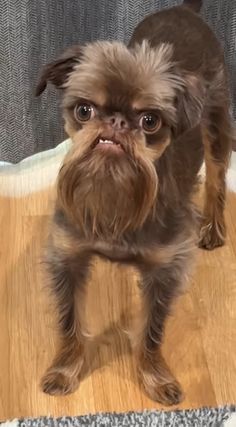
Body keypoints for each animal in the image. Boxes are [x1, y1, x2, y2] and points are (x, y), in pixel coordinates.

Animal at [36, 0, 232, 404]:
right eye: (84, 111)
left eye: (150, 120)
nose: (116, 123)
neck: (114, 192)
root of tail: (186, 9)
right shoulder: (67, 256)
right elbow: (70, 322)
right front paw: (65, 370)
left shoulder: (165, 270)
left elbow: (151, 331)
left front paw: (156, 377)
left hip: (218, 117)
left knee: (217, 174)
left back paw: (212, 225)